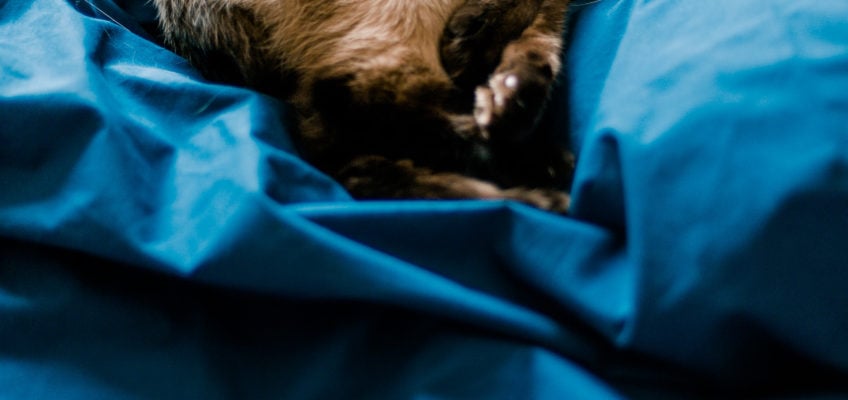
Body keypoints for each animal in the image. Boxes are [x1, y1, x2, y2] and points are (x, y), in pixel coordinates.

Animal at [152, 0, 573, 212]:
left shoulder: (546, 26)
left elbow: (537, 52)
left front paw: (503, 89)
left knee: (344, 158)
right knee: (366, 114)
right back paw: (541, 181)